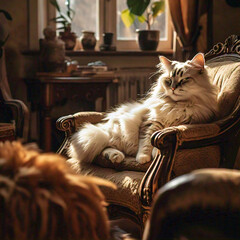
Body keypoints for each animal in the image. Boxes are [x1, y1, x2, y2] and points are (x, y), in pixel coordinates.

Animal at [68, 53, 218, 164]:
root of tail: (104, 128)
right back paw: (116, 156)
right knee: (103, 146)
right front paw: (143, 158)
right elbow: (146, 142)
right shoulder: (150, 122)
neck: (176, 105)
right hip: (116, 134)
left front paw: (154, 153)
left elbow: (156, 142)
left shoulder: (184, 124)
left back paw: (116, 157)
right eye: (169, 81)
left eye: (184, 80)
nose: (173, 88)